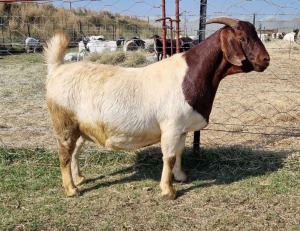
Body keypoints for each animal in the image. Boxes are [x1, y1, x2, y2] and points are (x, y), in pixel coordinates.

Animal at [44, 17, 270, 199]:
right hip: (64, 124)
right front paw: (168, 190)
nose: (266, 60)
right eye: (242, 38)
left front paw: (181, 176)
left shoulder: (181, 129)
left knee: (75, 151)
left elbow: (180, 152)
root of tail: (57, 69)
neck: (189, 76)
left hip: (80, 128)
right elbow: (168, 157)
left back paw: (79, 178)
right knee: (64, 154)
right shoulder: (170, 127)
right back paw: (71, 189)